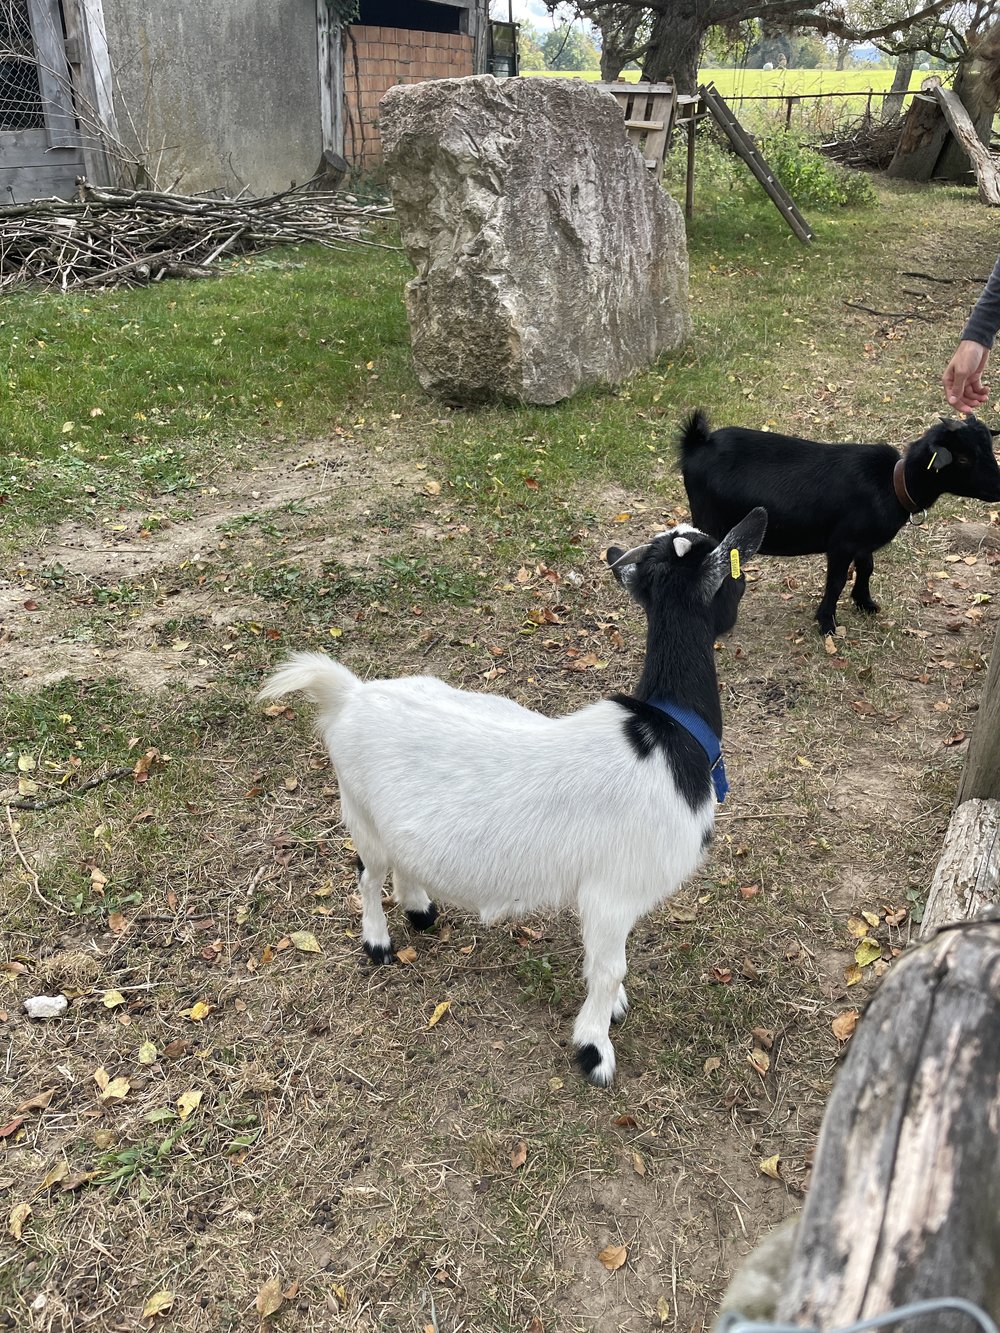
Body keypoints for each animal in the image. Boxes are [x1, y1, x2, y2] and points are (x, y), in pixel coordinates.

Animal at [258, 509, 768, 1082]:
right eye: (737, 579)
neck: (668, 734)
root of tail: (351, 694)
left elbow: (604, 966)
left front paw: (610, 1011)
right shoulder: (613, 890)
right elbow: (610, 968)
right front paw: (594, 1049)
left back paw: (420, 911)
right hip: (359, 810)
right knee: (367, 875)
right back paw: (379, 944)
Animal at [682, 410, 1000, 634]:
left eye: (988, 448)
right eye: (962, 458)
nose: (998, 488)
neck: (893, 484)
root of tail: (697, 445)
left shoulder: (862, 543)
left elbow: (867, 568)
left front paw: (865, 603)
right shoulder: (841, 544)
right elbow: (835, 582)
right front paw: (827, 624)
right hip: (709, 519)